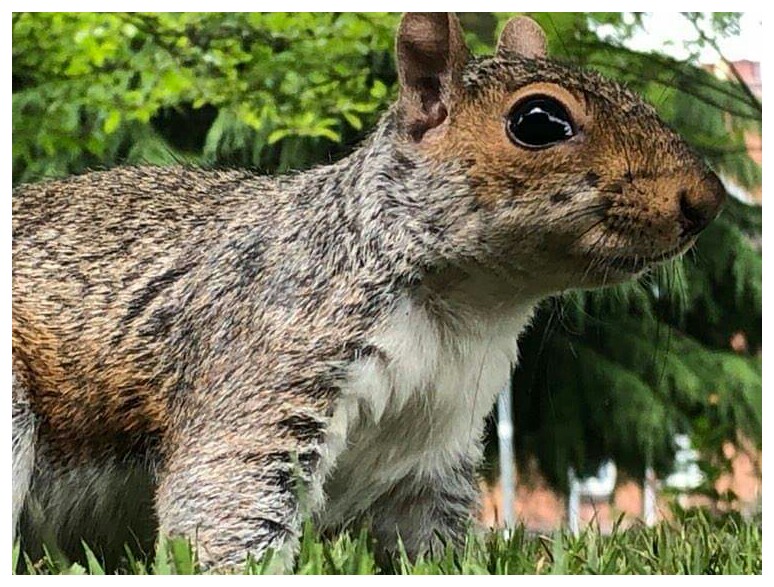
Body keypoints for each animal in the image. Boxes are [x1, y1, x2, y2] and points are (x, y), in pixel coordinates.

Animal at [12, 13, 725, 571]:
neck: (465, 309)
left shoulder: (436, 446)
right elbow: (226, 496)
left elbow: (429, 543)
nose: (708, 201)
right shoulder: (273, 362)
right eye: (539, 120)